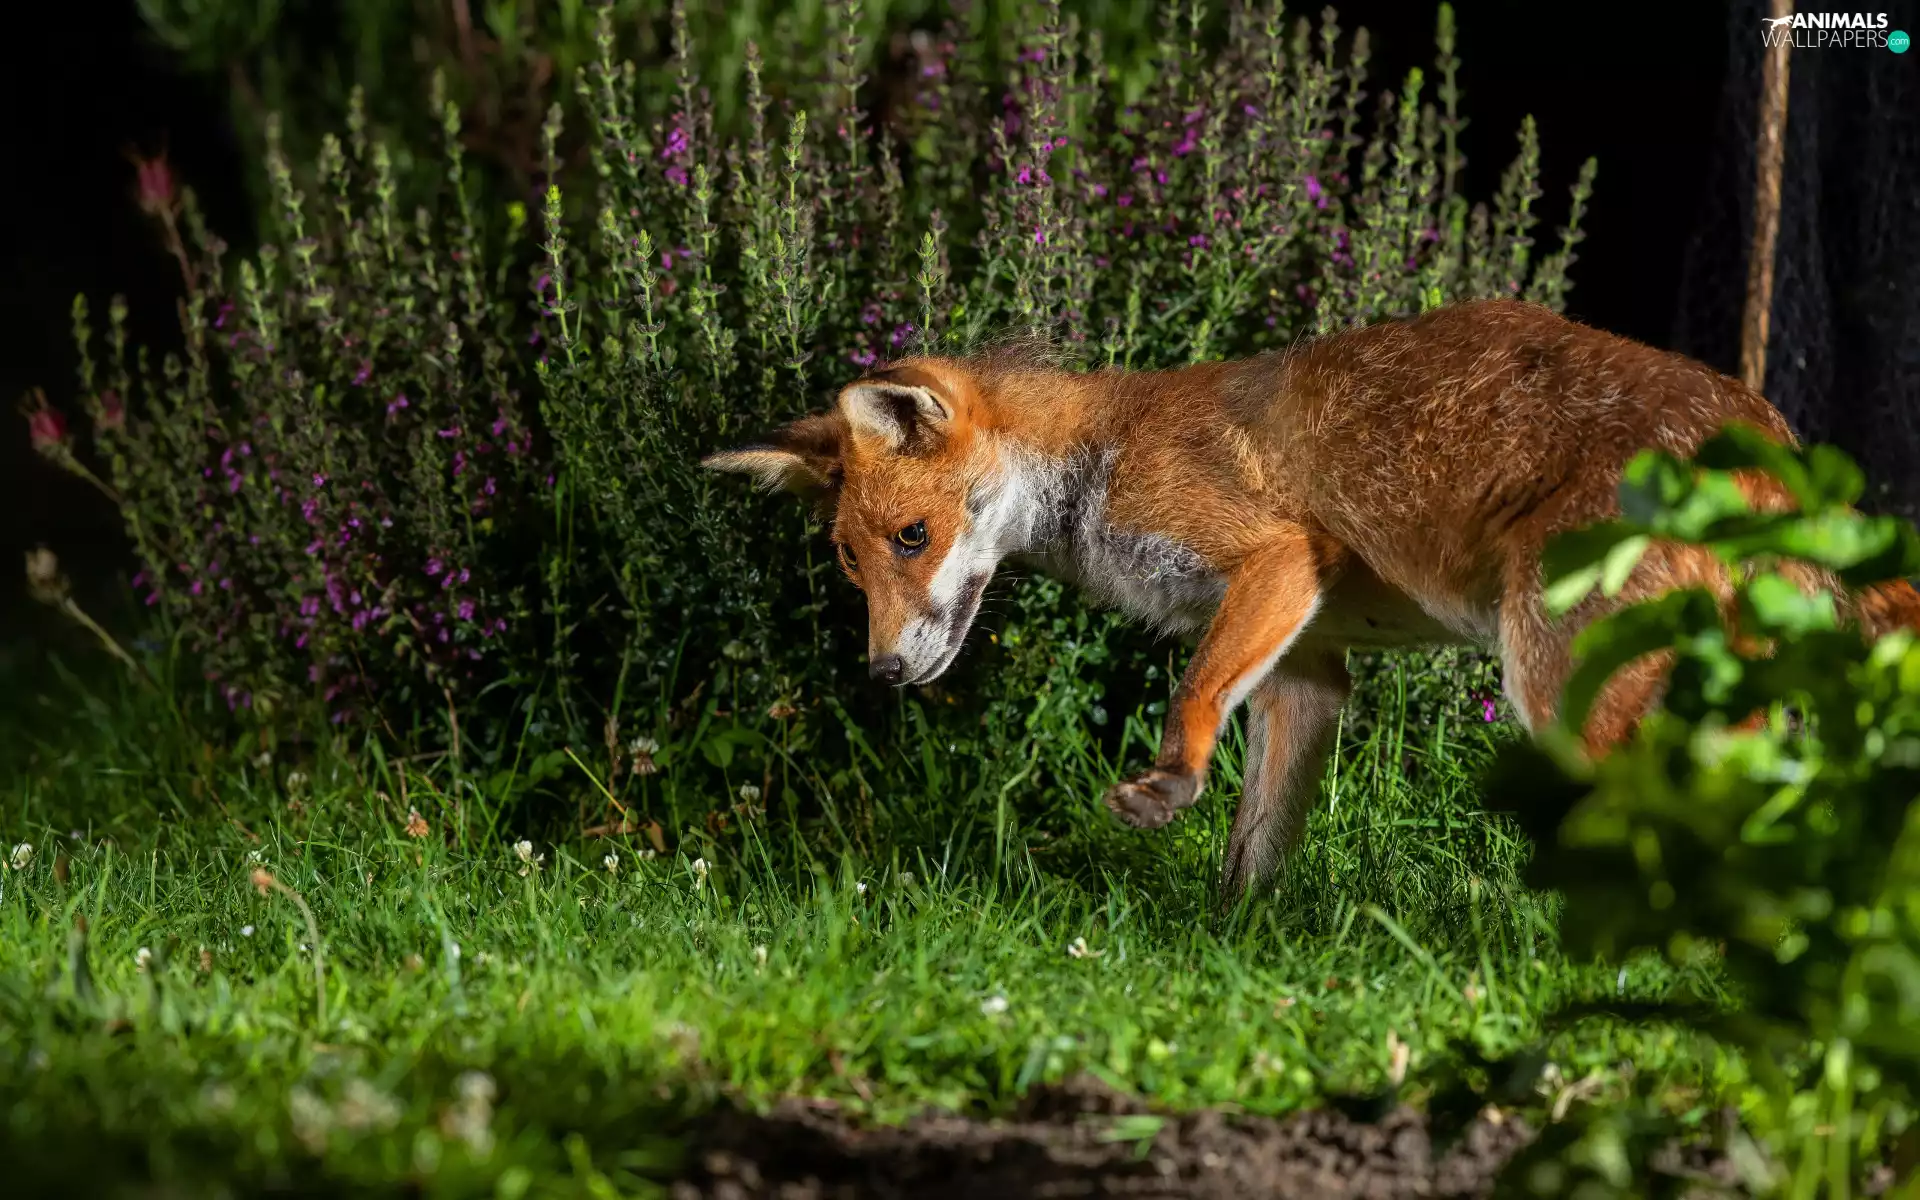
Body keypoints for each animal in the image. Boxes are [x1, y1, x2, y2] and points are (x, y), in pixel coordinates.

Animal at [703, 299, 1920, 898]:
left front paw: (1168, 783)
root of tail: (1769, 433)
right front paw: (1229, 943)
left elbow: (1194, 696)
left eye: (914, 538)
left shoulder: (1275, 559)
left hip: (1556, 687)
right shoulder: (1307, 668)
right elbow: (1255, 846)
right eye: (852, 567)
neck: (1100, 456)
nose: (882, 672)